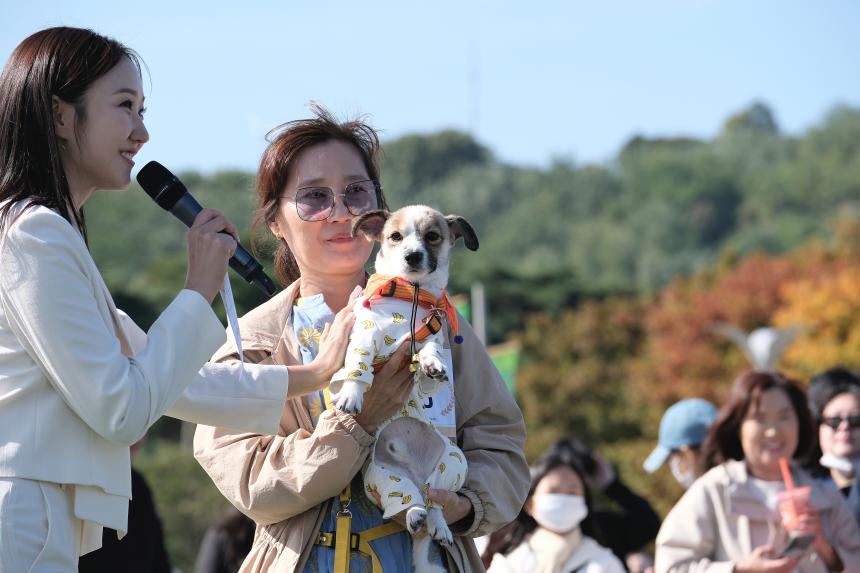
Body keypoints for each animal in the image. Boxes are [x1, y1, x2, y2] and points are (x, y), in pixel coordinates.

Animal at [328, 206, 478, 572]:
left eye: (432, 237)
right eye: (395, 237)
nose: (412, 255)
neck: (410, 294)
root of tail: (418, 479)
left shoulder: (429, 336)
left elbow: (430, 350)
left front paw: (433, 364)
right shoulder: (364, 334)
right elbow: (359, 365)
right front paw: (351, 394)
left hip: (453, 464)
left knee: (436, 503)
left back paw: (436, 524)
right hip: (382, 479)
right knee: (407, 501)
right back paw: (413, 516)